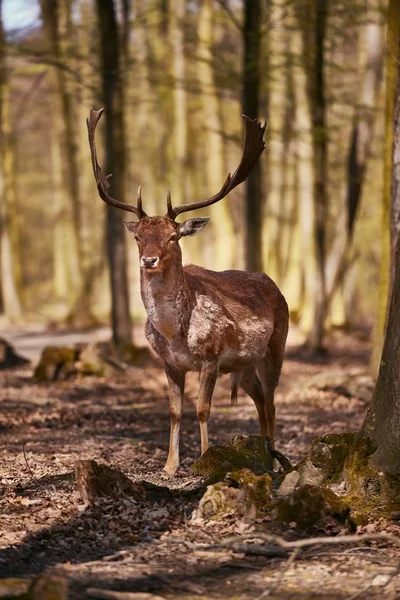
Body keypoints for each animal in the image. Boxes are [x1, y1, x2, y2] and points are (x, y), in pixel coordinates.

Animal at [86, 106, 288, 474]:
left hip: (275, 346)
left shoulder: (210, 357)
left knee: (271, 401)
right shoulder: (169, 363)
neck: (175, 332)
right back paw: (266, 453)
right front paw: (169, 465)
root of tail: (274, 284)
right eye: (138, 236)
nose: (149, 259)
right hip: (243, 364)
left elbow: (203, 409)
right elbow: (175, 410)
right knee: (258, 398)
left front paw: (205, 459)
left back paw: (276, 459)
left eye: (172, 236)